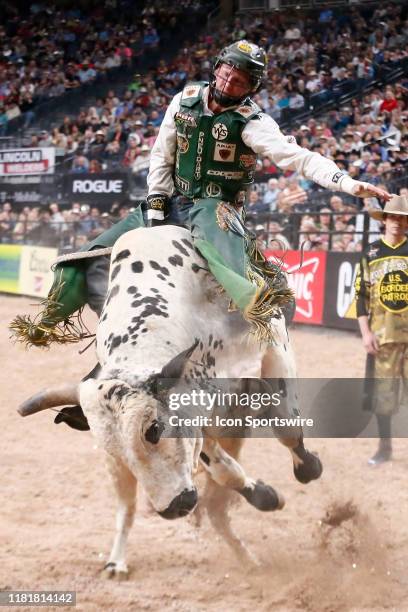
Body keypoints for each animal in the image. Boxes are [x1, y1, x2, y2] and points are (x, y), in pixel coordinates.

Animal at [17, 226, 322, 580]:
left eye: (153, 429)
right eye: (113, 446)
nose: (174, 507)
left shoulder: (273, 345)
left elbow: (286, 430)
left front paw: (308, 467)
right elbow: (223, 471)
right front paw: (264, 493)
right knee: (133, 508)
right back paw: (117, 560)